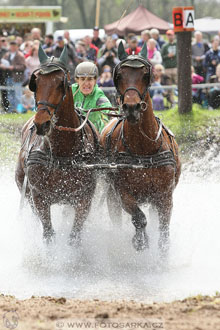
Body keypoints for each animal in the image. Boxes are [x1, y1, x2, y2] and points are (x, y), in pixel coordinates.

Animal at [15, 45, 98, 244]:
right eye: (36, 82)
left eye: (61, 83)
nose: (42, 123)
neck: (63, 151)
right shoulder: (39, 196)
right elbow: (48, 233)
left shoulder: (84, 198)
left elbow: (74, 236)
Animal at [100, 42, 181, 253]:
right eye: (119, 75)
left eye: (145, 75)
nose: (132, 107)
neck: (144, 149)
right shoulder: (122, 193)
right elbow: (138, 218)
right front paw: (140, 240)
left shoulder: (165, 196)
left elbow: (163, 229)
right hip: (111, 194)